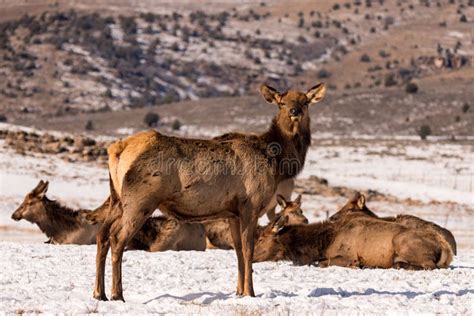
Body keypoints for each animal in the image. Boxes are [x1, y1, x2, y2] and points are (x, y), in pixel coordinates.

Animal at [90, 82, 324, 300]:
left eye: (305, 101)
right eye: (281, 103)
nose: (295, 111)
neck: (276, 161)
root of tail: (117, 149)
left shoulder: (232, 212)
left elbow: (238, 251)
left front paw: (238, 292)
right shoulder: (251, 205)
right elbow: (248, 250)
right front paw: (250, 293)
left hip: (116, 199)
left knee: (102, 235)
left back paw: (99, 293)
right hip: (140, 200)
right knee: (117, 238)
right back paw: (117, 294)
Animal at [254, 193, 454, 270]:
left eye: (262, 238)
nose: (252, 257)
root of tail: (446, 249)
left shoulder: (348, 256)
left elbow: (323, 263)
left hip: (402, 242)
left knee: (428, 265)